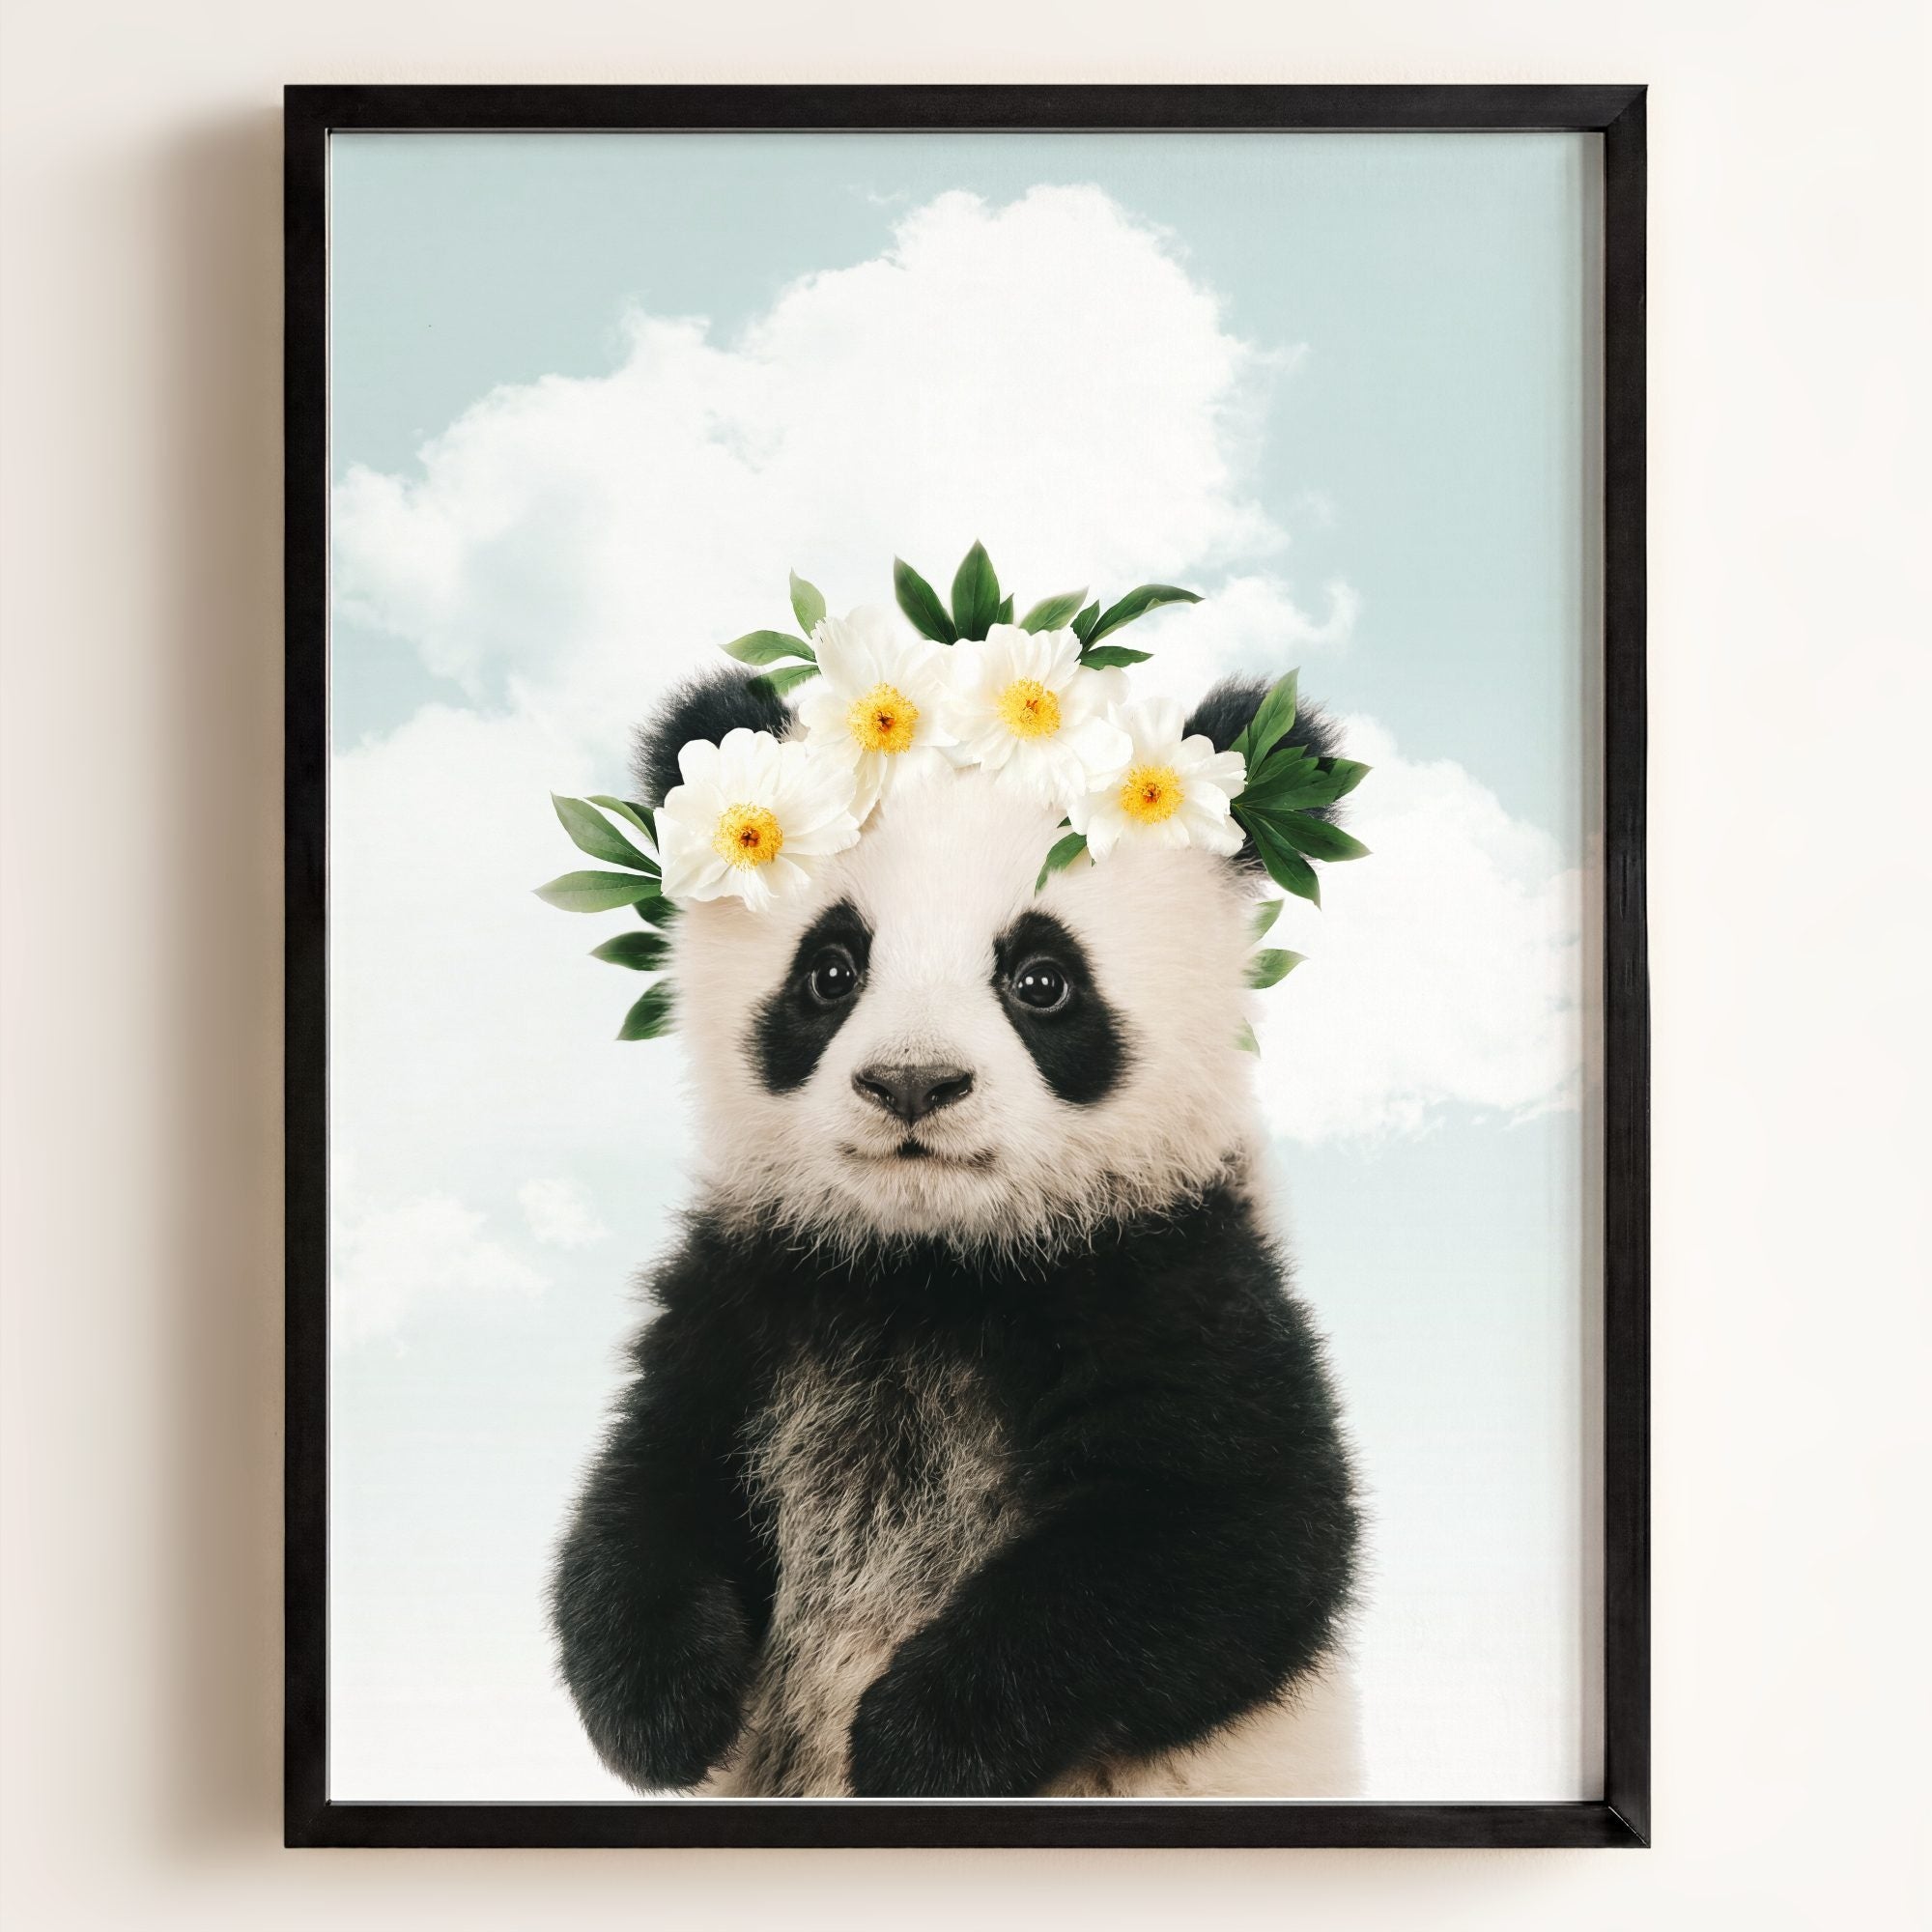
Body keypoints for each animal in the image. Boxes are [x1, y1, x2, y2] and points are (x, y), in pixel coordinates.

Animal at [551, 666, 1363, 1799]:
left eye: (1041, 979)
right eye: (830, 970)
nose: (911, 1082)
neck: (933, 1266)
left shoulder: (1175, 1280)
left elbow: (1231, 1539)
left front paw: (918, 1738)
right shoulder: (751, 1291)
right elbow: (649, 1487)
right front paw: (664, 1708)